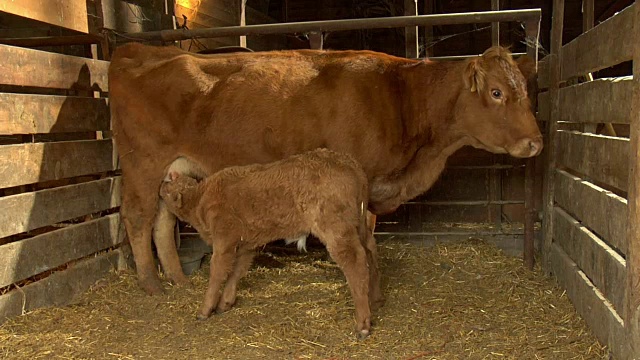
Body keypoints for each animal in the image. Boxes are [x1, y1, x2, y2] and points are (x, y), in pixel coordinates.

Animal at [109, 43, 540, 296]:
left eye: (525, 91)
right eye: (497, 92)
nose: (536, 141)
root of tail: (139, 49)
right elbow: (365, 238)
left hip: (170, 168)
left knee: (163, 219)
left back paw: (178, 279)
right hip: (142, 163)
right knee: (138, 217)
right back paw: (151, 285)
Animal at [160, 148, 380, 338]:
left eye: (170, 189)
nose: (162, 184)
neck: (200, 199)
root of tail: (347, 162)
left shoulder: (224, 240)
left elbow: (218, 273)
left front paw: (205, 310)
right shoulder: (246, 244)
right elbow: (237, 271)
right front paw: (225, 303)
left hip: (337, 229)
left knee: (356, 261)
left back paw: (362, 324)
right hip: (359, 224)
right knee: (370, 251)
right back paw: (374, 299)